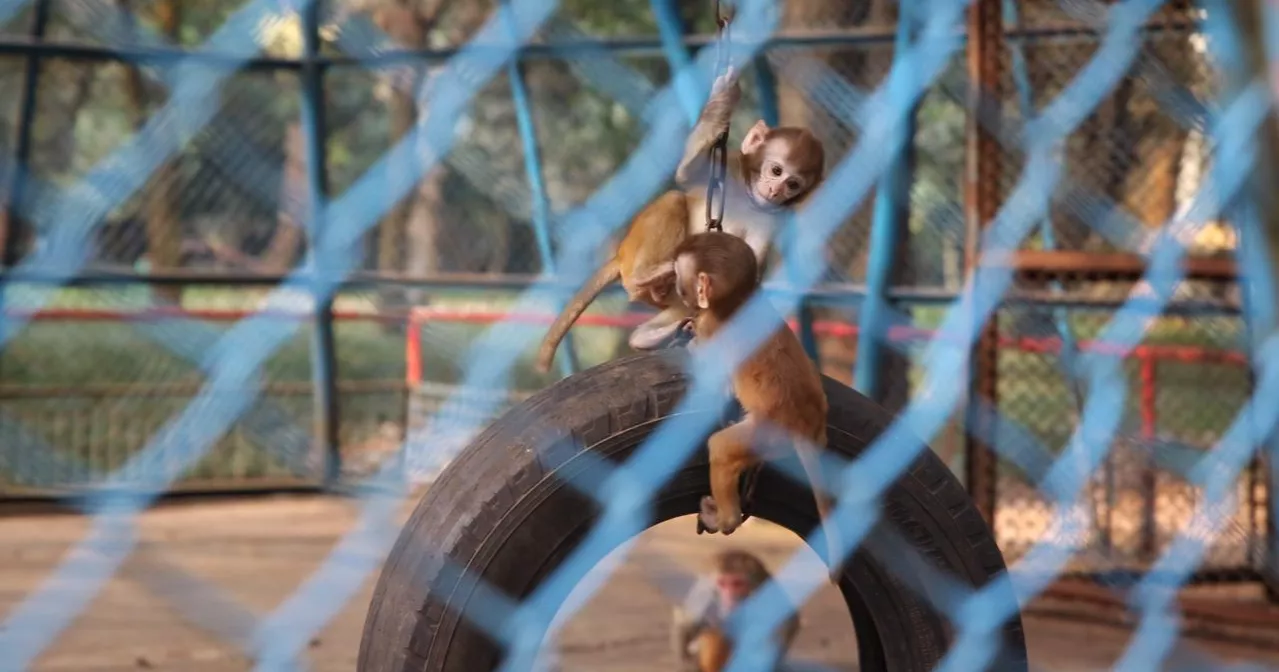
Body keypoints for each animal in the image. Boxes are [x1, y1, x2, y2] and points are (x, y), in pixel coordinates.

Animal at [534, 67, 826, 373]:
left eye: (793, 184)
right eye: (776, 170)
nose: (775, 190)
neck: (749, 197)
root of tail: (620, 255)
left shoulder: (775, 217)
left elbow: (752, 265)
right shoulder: (730, 169)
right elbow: (686, 175)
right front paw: (722, 103)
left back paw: (648, 336)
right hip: (638, 253)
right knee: (674, 199)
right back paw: (648, 276)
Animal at [636, 231, 841, 575]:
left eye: (679, 277)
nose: (676, 289)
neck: (739, 302)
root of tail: (804, 427)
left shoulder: (711, 328)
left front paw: (688, 342)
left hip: (769, 436)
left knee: (721, 447)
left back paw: (725, 517)